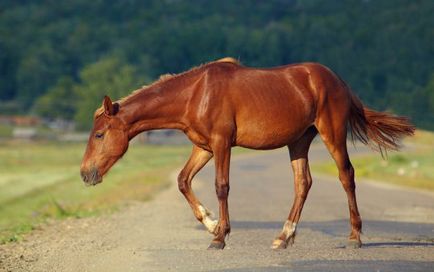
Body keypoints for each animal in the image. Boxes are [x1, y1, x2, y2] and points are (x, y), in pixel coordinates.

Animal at [79, 58, 416, 250]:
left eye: (99, 134)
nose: (85, 174)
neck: (195, 94)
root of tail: (339, 81)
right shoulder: (204, 147)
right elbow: (183, 181)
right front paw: (212, 224)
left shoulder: (221, 143)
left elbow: (221, 186)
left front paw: (219, 237)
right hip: (299, 141)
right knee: (303, 183)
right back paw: (283, 237)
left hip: (332, 134)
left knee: (346, 176)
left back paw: (355, 237)